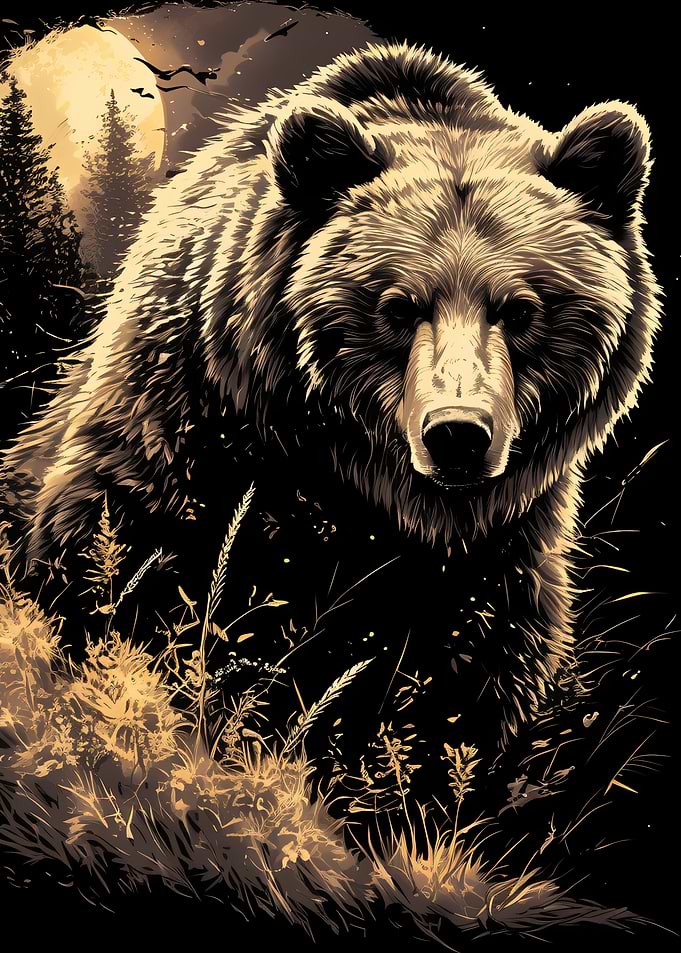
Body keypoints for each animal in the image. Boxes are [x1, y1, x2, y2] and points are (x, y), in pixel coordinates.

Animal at [0, 42, 661, 776]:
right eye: (397, 305)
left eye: (520, 309)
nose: (457, 434)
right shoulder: (189, 427)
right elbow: (125, 563)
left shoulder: (496, 545)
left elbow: (464, 672)